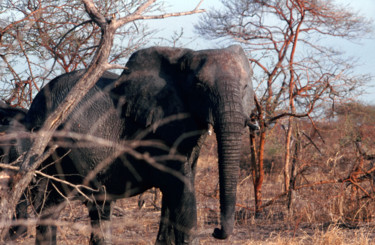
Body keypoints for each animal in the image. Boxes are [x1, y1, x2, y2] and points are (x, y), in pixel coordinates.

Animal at [9, 45, 256, 244]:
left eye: (245, 87)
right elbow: (181, 188)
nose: (217, 231)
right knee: (57, 203)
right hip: (50, 147)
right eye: (199, 86)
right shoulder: (158, 131)